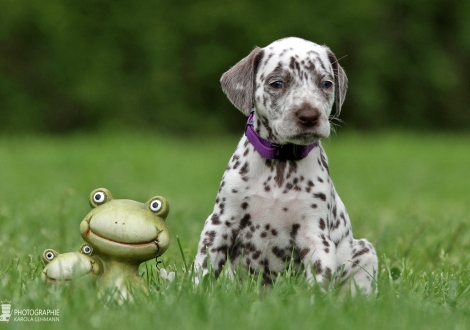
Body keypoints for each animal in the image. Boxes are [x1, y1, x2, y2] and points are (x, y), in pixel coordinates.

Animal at [194, 37, 378, 296]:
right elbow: (204, 270)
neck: (281, 163)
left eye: (326, 83)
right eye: (277, 83)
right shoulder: (220, 224)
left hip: (364, 251)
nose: (309, 116)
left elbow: (319, 279)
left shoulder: (315, 235)